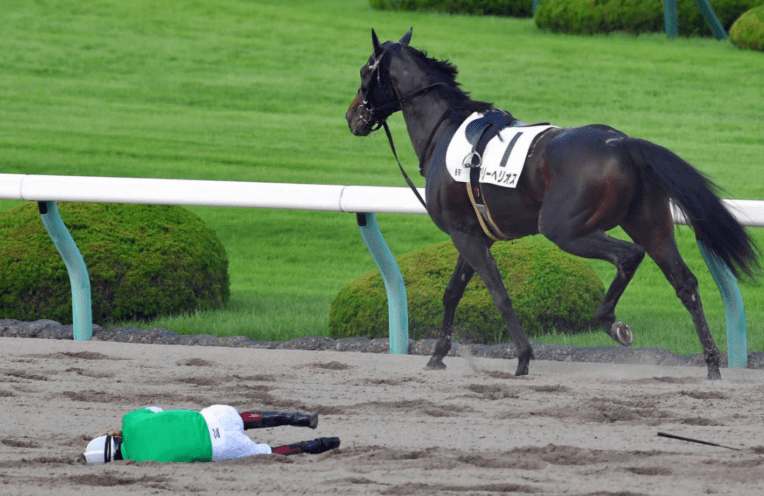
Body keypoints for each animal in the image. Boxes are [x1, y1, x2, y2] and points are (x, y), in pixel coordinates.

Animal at [344, 28, 760, 380]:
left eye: (365, 70)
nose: (352, 116)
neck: (445, 130)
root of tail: (623, 143)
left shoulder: (466, 235)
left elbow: (498, 294)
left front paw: (523, 356)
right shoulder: (474, 233)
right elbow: (451, 293)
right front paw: (437, 355)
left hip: (565, 228)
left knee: (629, 256)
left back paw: (613, 324)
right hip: (650, 223)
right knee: (684, 282)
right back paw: (711, 363)